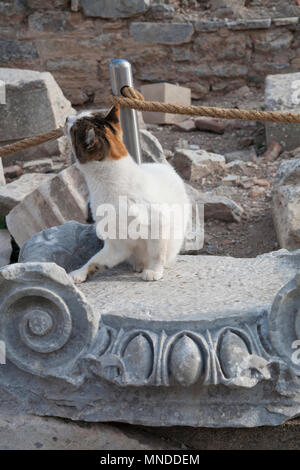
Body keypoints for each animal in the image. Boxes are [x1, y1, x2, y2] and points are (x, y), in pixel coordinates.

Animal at [63, 104, 190, 282]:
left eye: (74, 128)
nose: (67, 118)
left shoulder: (158, 221)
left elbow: (157, 252)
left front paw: (154, 270)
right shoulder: (117, 243)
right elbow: (94, 260)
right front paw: (79, 272)